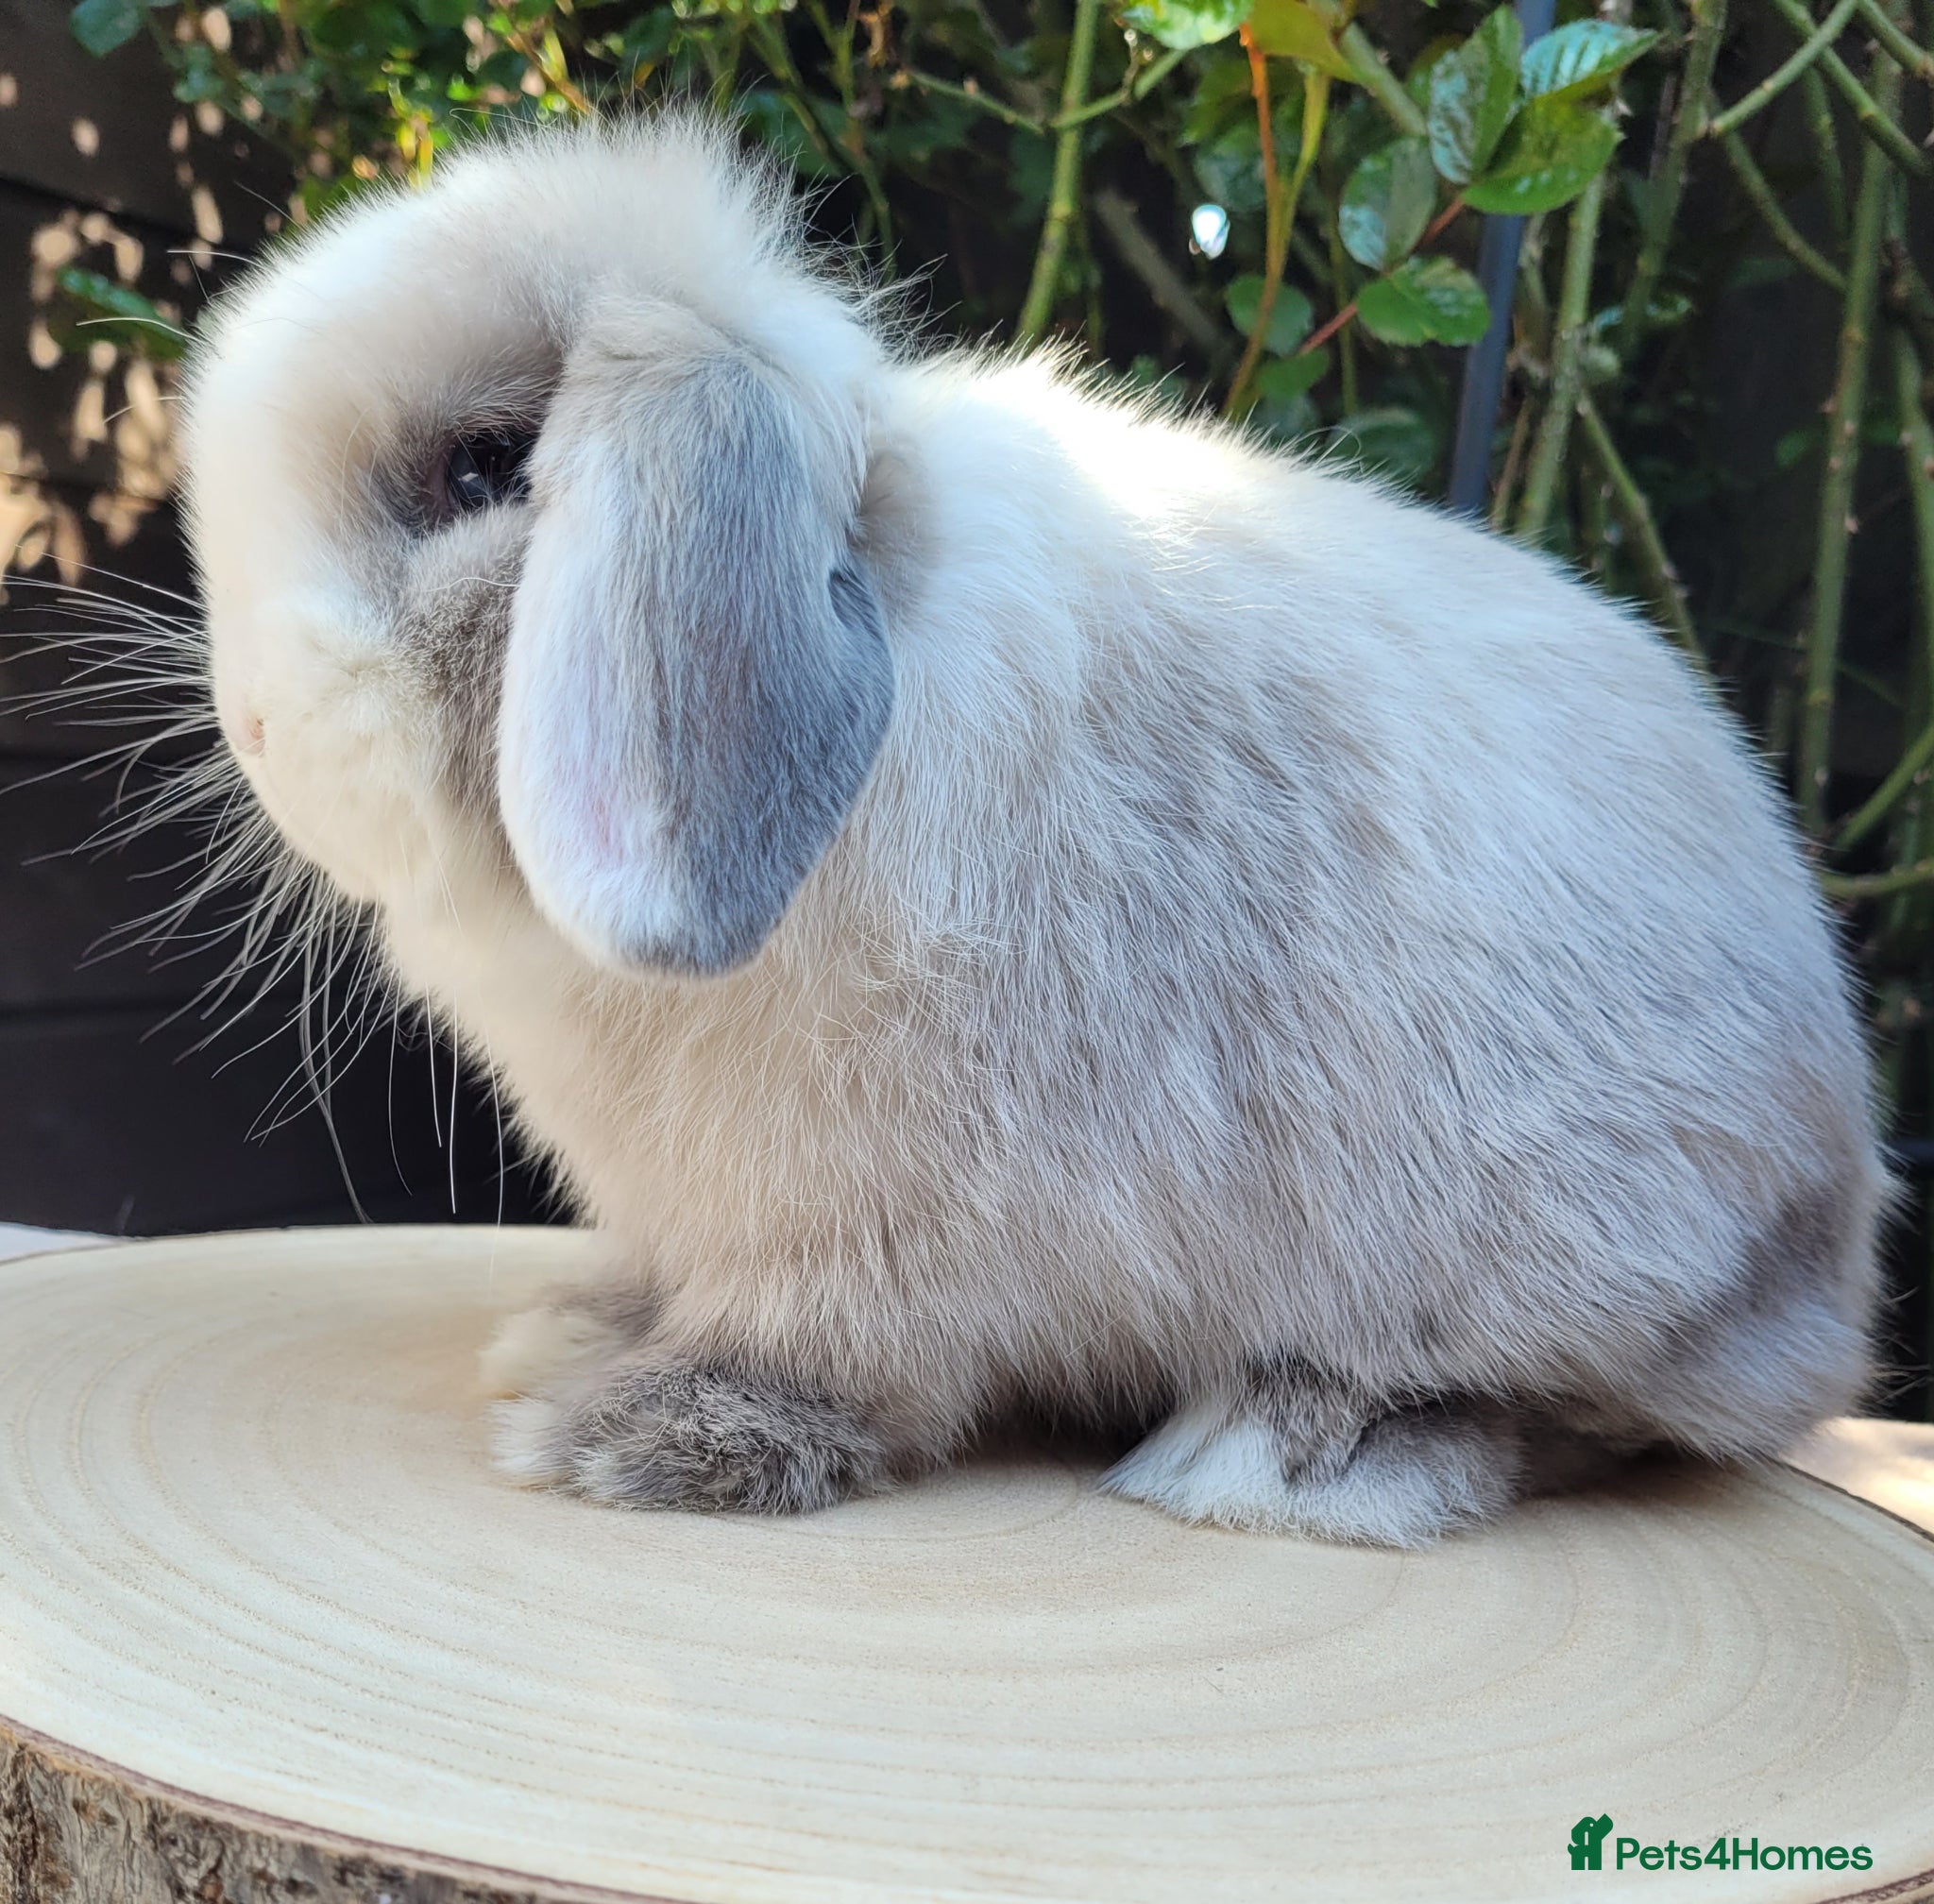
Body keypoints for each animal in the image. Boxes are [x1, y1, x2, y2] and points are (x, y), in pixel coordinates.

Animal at [177, 115, 1887, 1545]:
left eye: (484, 467)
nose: (254, 725)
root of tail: (1836, 1226)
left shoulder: (876, 1226)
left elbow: (826, 1352)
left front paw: (641, 1435)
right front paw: (575, 1334)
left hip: (1572, 1254)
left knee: (1595, 1419)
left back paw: (1292, 1459)